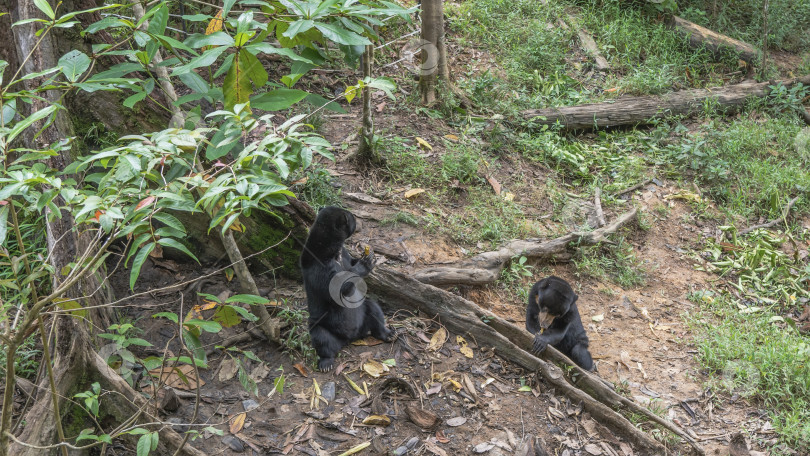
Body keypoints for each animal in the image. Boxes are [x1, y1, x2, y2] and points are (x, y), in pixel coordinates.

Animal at [300, 207, 394, 370]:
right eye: (352, 218)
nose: (358, 220)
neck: (330, 250)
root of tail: (350, 338)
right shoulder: (319, 267)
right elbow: (337, 289)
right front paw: (365, 263)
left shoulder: (343, 254)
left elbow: (351, 262)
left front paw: (369, 256)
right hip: (323, 324)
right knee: (321, 337)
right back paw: (326, 363)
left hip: (363, 313)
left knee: (374, 310)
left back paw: (388, 334)